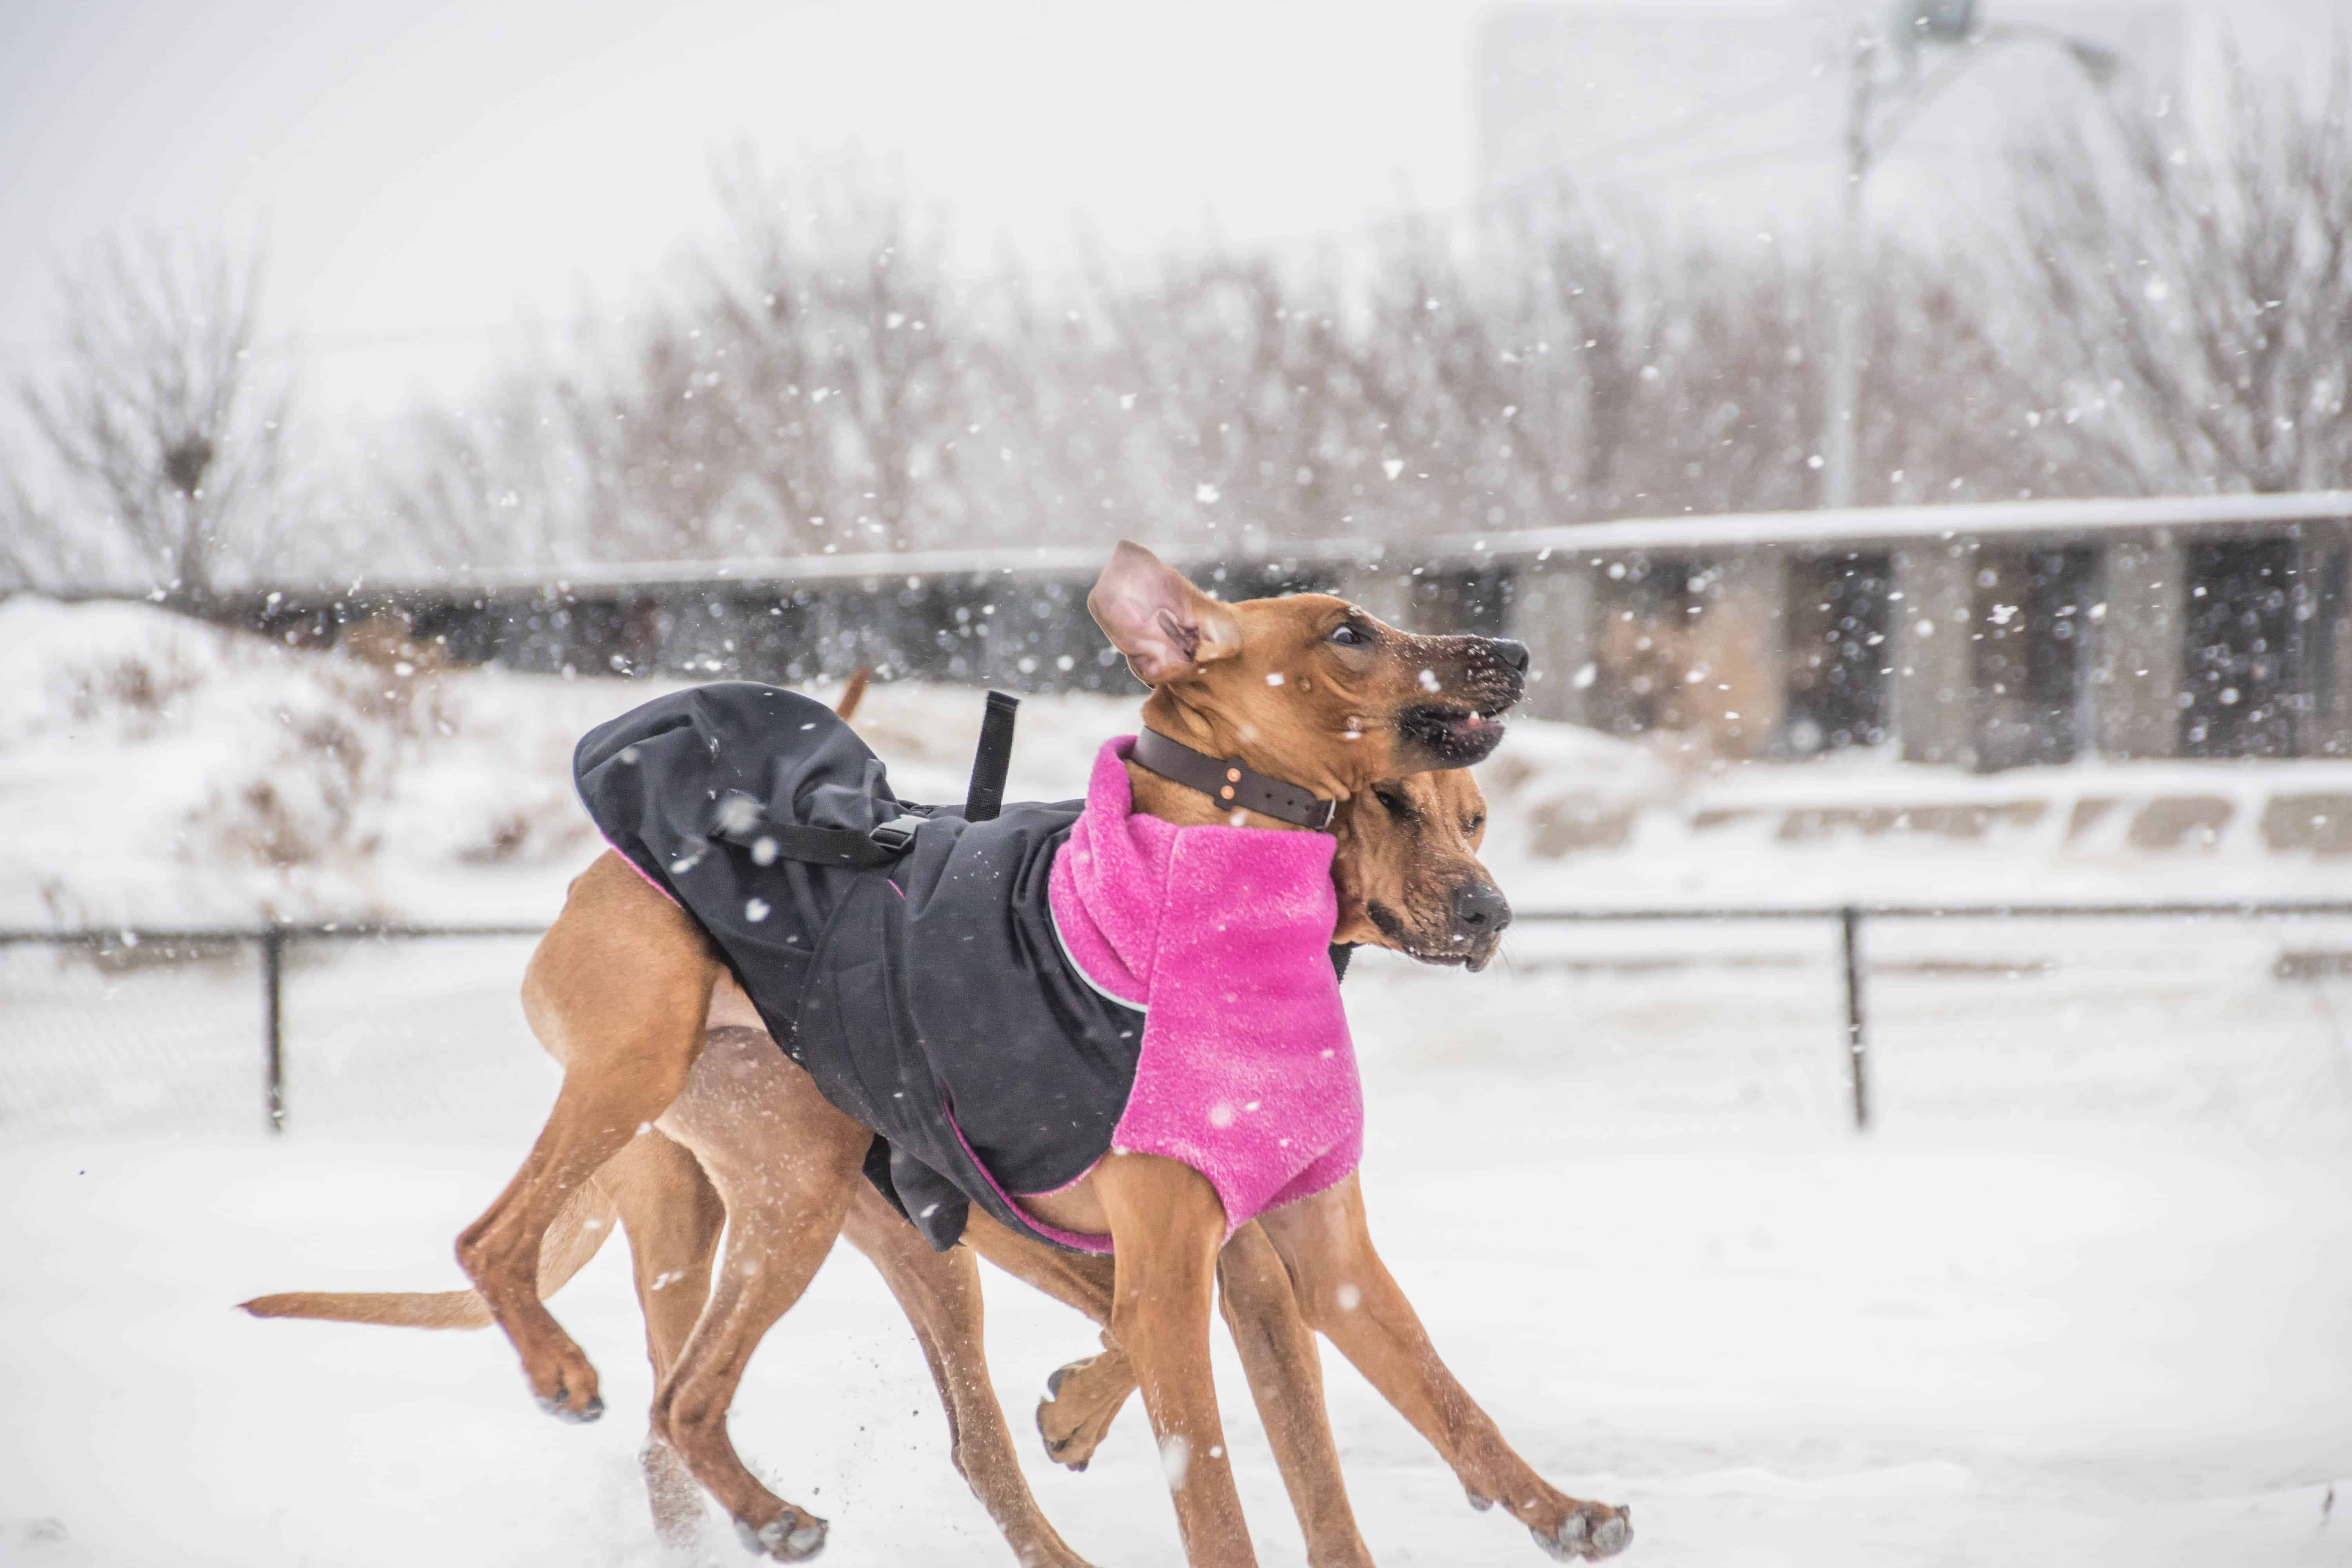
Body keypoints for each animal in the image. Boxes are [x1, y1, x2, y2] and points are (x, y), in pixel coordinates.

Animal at [243, 543, 1637, 1568]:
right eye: (1348, 633)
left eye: (1476, 823)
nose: (1514, 650)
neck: (1214, 914)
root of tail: (594, 868)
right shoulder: (1176, 1252)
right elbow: (1209, 1475)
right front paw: (1097, 1410)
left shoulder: (1303, 1250)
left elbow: (1409, 1419)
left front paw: (1557, 1507)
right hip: (681, 1100)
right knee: (525, 1269)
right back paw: (573, 1375)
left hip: (836, 1212)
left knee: (746, 1413)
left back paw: (769, 1509)